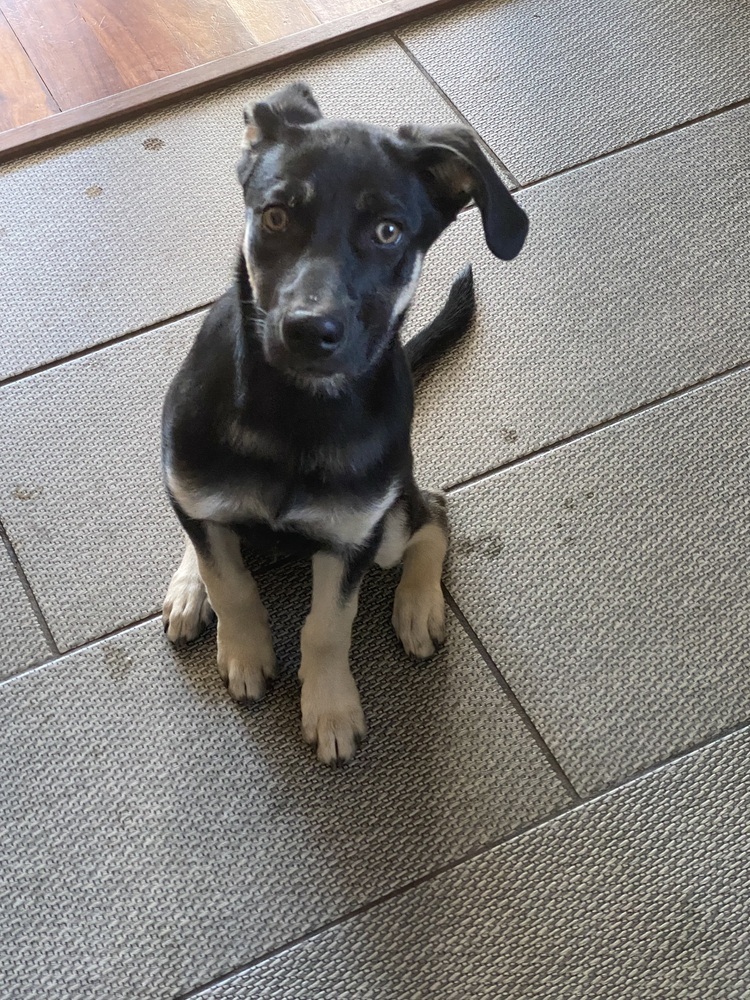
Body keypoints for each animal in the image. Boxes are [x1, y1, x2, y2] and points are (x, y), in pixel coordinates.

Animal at [160, 82, 528, 760]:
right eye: (276, 216)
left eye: (388, 231)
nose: (310, 331)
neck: (296, 410)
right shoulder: (196, 493)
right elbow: (230, 583)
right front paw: (243, 649)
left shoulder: (349, 539)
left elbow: (328, 627)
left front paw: (330, 708)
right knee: (205, 534)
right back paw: (188, 586)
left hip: (388, 527)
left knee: (432, 513)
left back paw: (416, 605)